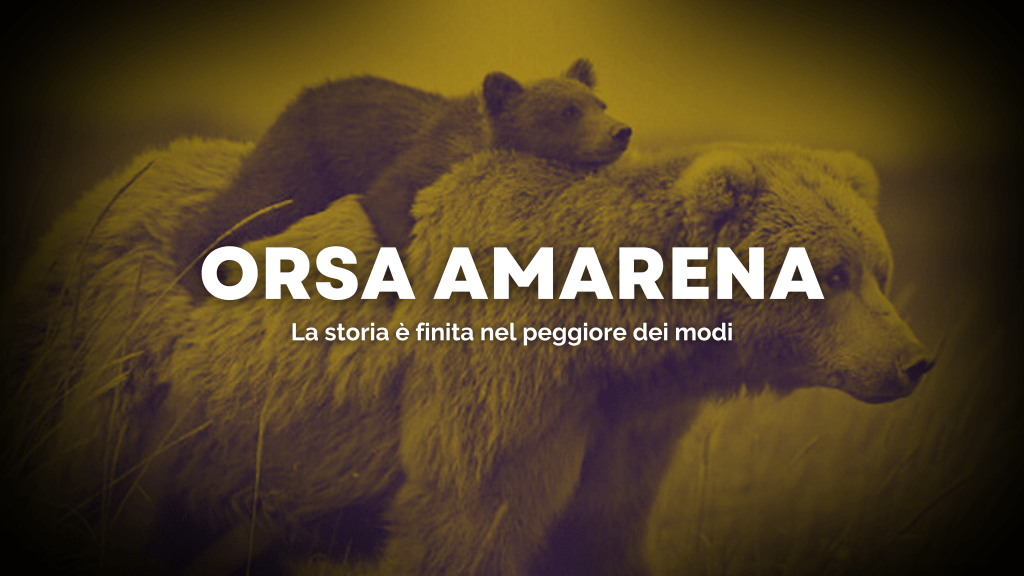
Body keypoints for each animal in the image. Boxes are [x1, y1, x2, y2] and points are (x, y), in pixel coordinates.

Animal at [4, 140, 933, 575]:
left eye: (881, 267)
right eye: (833, 272)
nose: (914, 363)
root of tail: (99, 192)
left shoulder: (625, 427)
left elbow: (599, 530)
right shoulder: (497, 385)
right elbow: (466, 522)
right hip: (126, 381)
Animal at [171, 58, 631, 300]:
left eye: (599, 103)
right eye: (567, 111)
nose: (620, 131)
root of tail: (296, 99)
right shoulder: (421, 160)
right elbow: (389, 198)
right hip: (304, 158)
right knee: (257, 202)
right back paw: (195, 270)